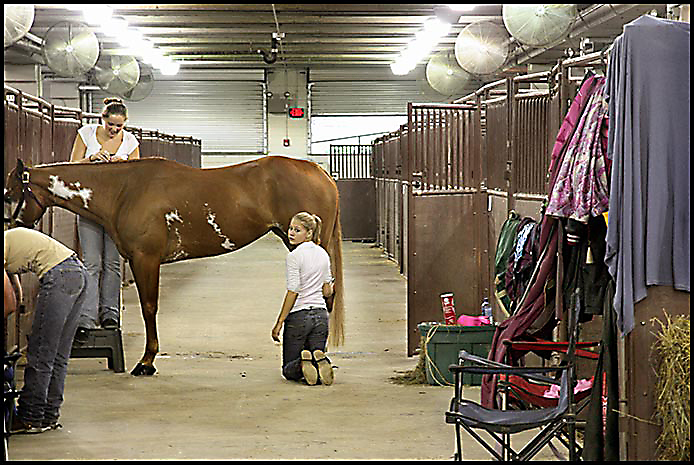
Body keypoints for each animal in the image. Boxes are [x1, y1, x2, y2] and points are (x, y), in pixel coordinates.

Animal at [3, 155, 346, 374]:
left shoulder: (145, 259)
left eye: (8, 195)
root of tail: (321, 174)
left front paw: (146, 363)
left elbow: (149, 307)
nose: (9, 230)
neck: (124, 190)